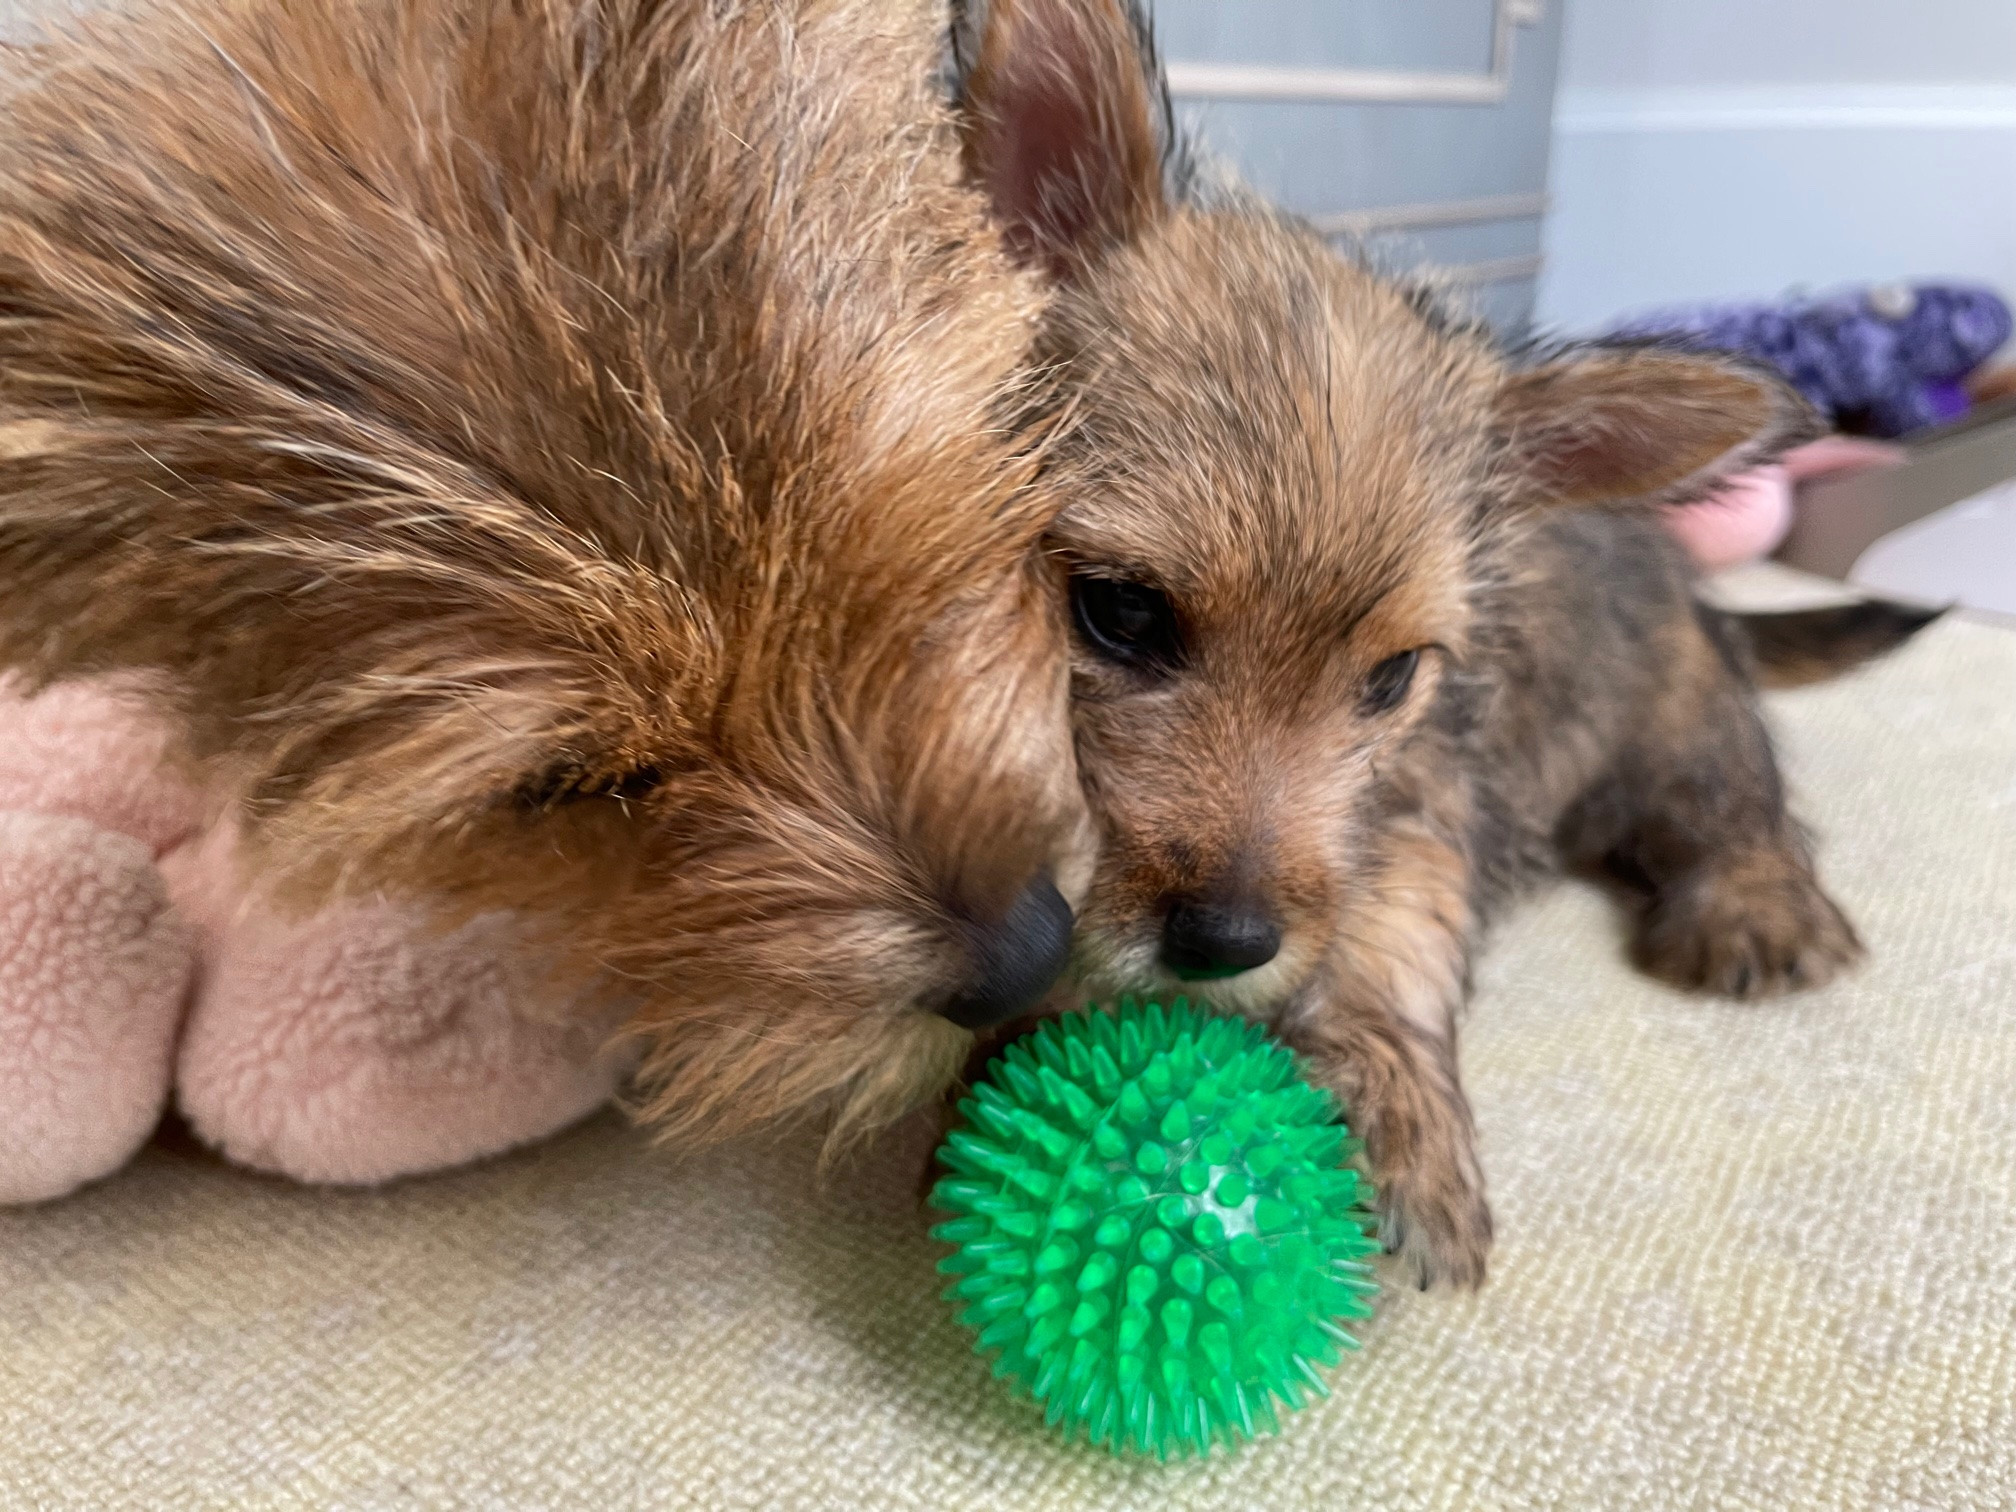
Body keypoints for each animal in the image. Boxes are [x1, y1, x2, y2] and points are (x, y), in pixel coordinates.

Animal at [953, 0, 1938, 1287]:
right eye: (1119, 612)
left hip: (1678, 719)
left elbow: (1391, 936)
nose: (1227, 946)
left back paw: (1757, 908)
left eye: (1389, 678)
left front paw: (1392, 1115)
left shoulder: (1415, 806)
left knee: (1741, 800)